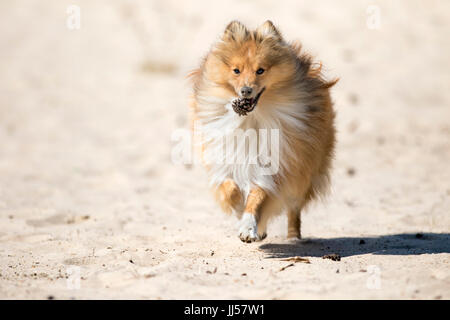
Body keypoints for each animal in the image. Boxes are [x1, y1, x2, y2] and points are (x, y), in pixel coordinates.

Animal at [187, 20, 338, 242]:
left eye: (260, 70)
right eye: (236, 70)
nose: (246, 91)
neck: (249, 118)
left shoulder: (275, 164)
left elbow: (257, 196)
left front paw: (248, 228)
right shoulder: (224, 159)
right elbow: (230, 189)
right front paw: (239, 210)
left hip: (304, 172)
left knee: (294, 208)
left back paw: (293, 237)